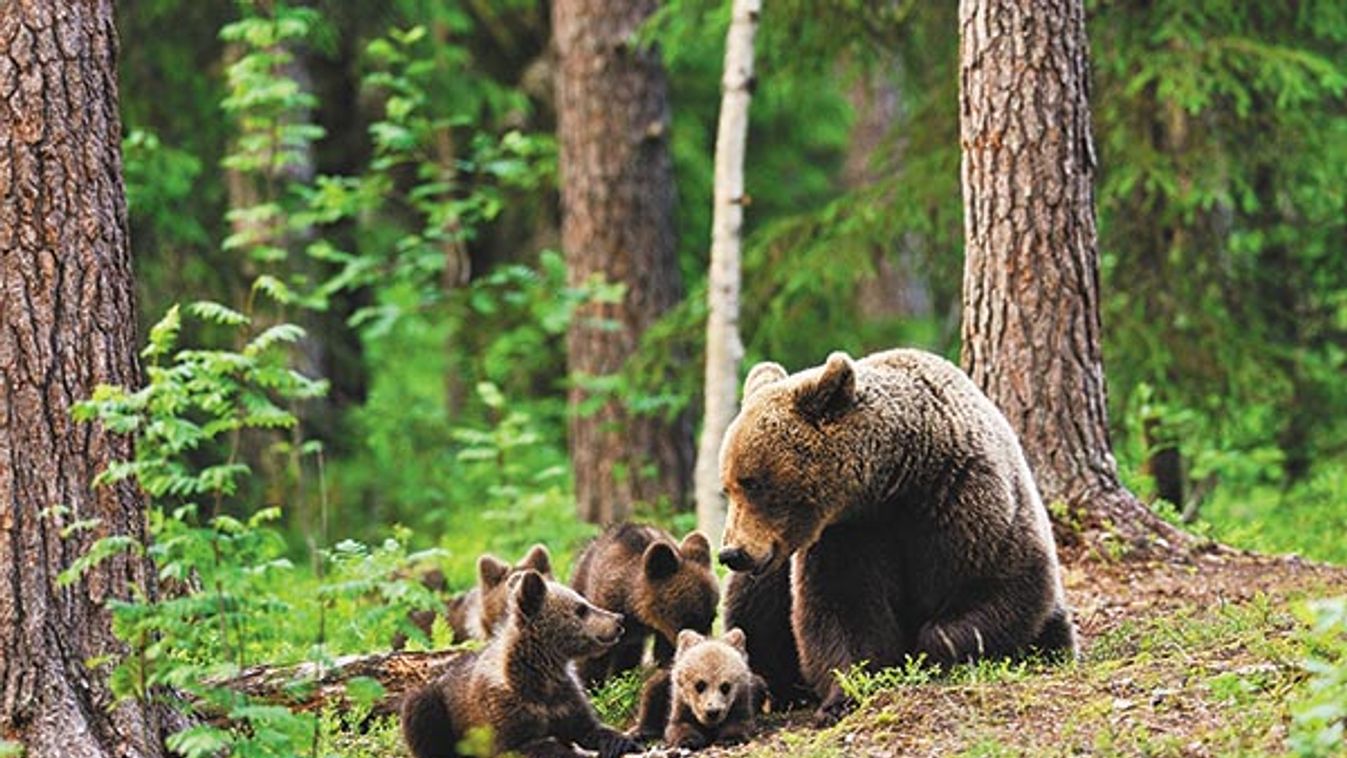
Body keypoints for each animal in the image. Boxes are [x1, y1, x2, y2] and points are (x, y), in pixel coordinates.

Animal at [398, 570, 641, 758]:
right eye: (581, 609)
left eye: (585, 602)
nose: (618, 619)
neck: (541, 671)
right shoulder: (503, 707)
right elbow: (526, 745)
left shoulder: (564, 699)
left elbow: (589, 727)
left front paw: (623, 740)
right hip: (436, 702)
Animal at [721, 350, 1077, 721]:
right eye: (727, 486)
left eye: (752, 482)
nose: (732, 553)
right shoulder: (849, 535)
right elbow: (843, 610)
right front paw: (844, 696)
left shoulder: (964, 500)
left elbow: (999, 584)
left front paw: (929, 654)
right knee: (753, 607)